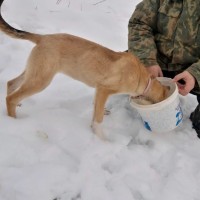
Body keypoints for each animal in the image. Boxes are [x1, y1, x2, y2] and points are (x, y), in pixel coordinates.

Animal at [0, 0, 169, 139]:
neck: (142, 78)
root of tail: (42, 37)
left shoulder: (98, 91)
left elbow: (96, 110)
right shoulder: (104, 89)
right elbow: (98, 119)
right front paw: (102, 140)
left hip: (34, 72)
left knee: (11, 83)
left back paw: (16, 106)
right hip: (41, 80)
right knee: (11, 98)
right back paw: (13, 120)